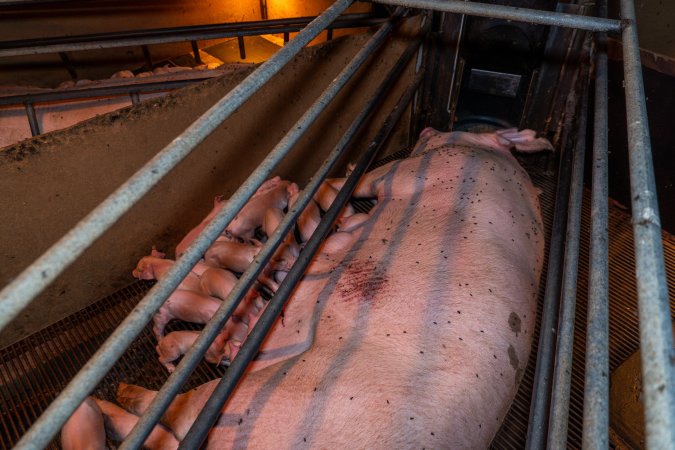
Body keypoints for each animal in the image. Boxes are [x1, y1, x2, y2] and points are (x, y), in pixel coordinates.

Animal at [112, 128, 548, 448]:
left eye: (455, 128)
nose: (429, 128)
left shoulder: (412, 169)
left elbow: (357, 178)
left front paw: (340, 169)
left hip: (248, 397)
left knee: (180, 407)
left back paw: (121, 392)